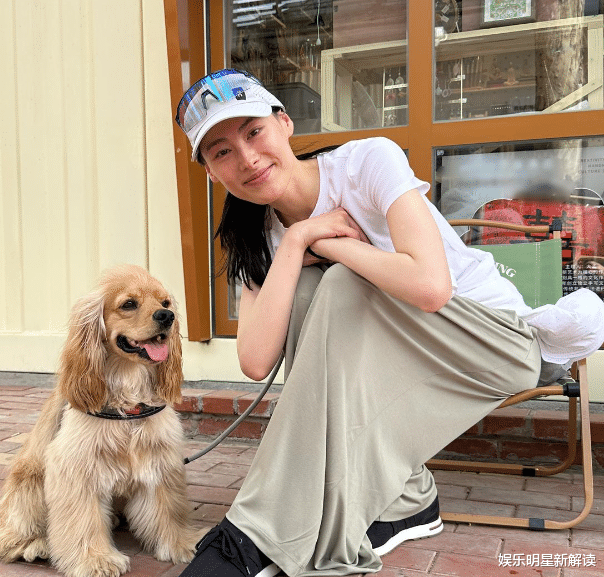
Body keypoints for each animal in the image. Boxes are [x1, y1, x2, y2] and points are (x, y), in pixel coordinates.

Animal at [0, 264, 199, 577]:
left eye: (165, 303)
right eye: (128, 304)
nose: (166, 317)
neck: (128, 395)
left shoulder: (157, 458)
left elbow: (168, 508)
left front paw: (181, 543)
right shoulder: (77, 467)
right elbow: (84, 519)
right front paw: (96, 559)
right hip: (29, 479)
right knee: (11, 535)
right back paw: (36, 545)